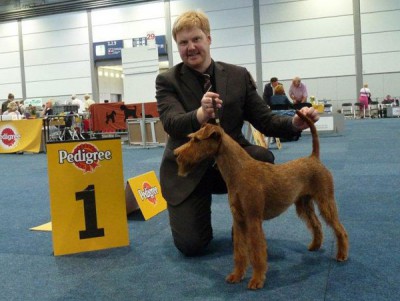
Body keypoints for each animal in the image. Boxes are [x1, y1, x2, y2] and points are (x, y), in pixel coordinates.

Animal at [173, 110, 348, 288]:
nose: (176, 154)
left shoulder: (253, 219)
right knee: (316, 224)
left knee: (339, 229)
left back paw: (341, 255)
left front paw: (257, 280)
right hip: (303, 203)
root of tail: (314, 158)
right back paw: (315, 246)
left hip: (325, 200)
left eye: (196, 140)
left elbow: (256, 252)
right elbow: (240, 251)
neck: (238, 171)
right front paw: (236, 275)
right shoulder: (239, 220)